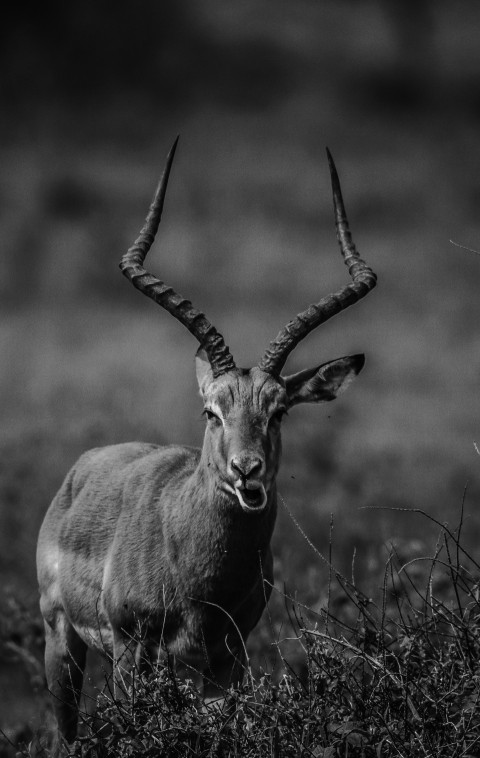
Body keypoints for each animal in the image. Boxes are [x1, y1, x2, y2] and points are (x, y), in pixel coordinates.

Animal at [36, 138, 376, 748]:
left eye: (279, 410)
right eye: (210, 411)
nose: (247, 470)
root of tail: (83, 468)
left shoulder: (226, 660)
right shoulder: (133, 651)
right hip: (62, 641)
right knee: (67, 732)